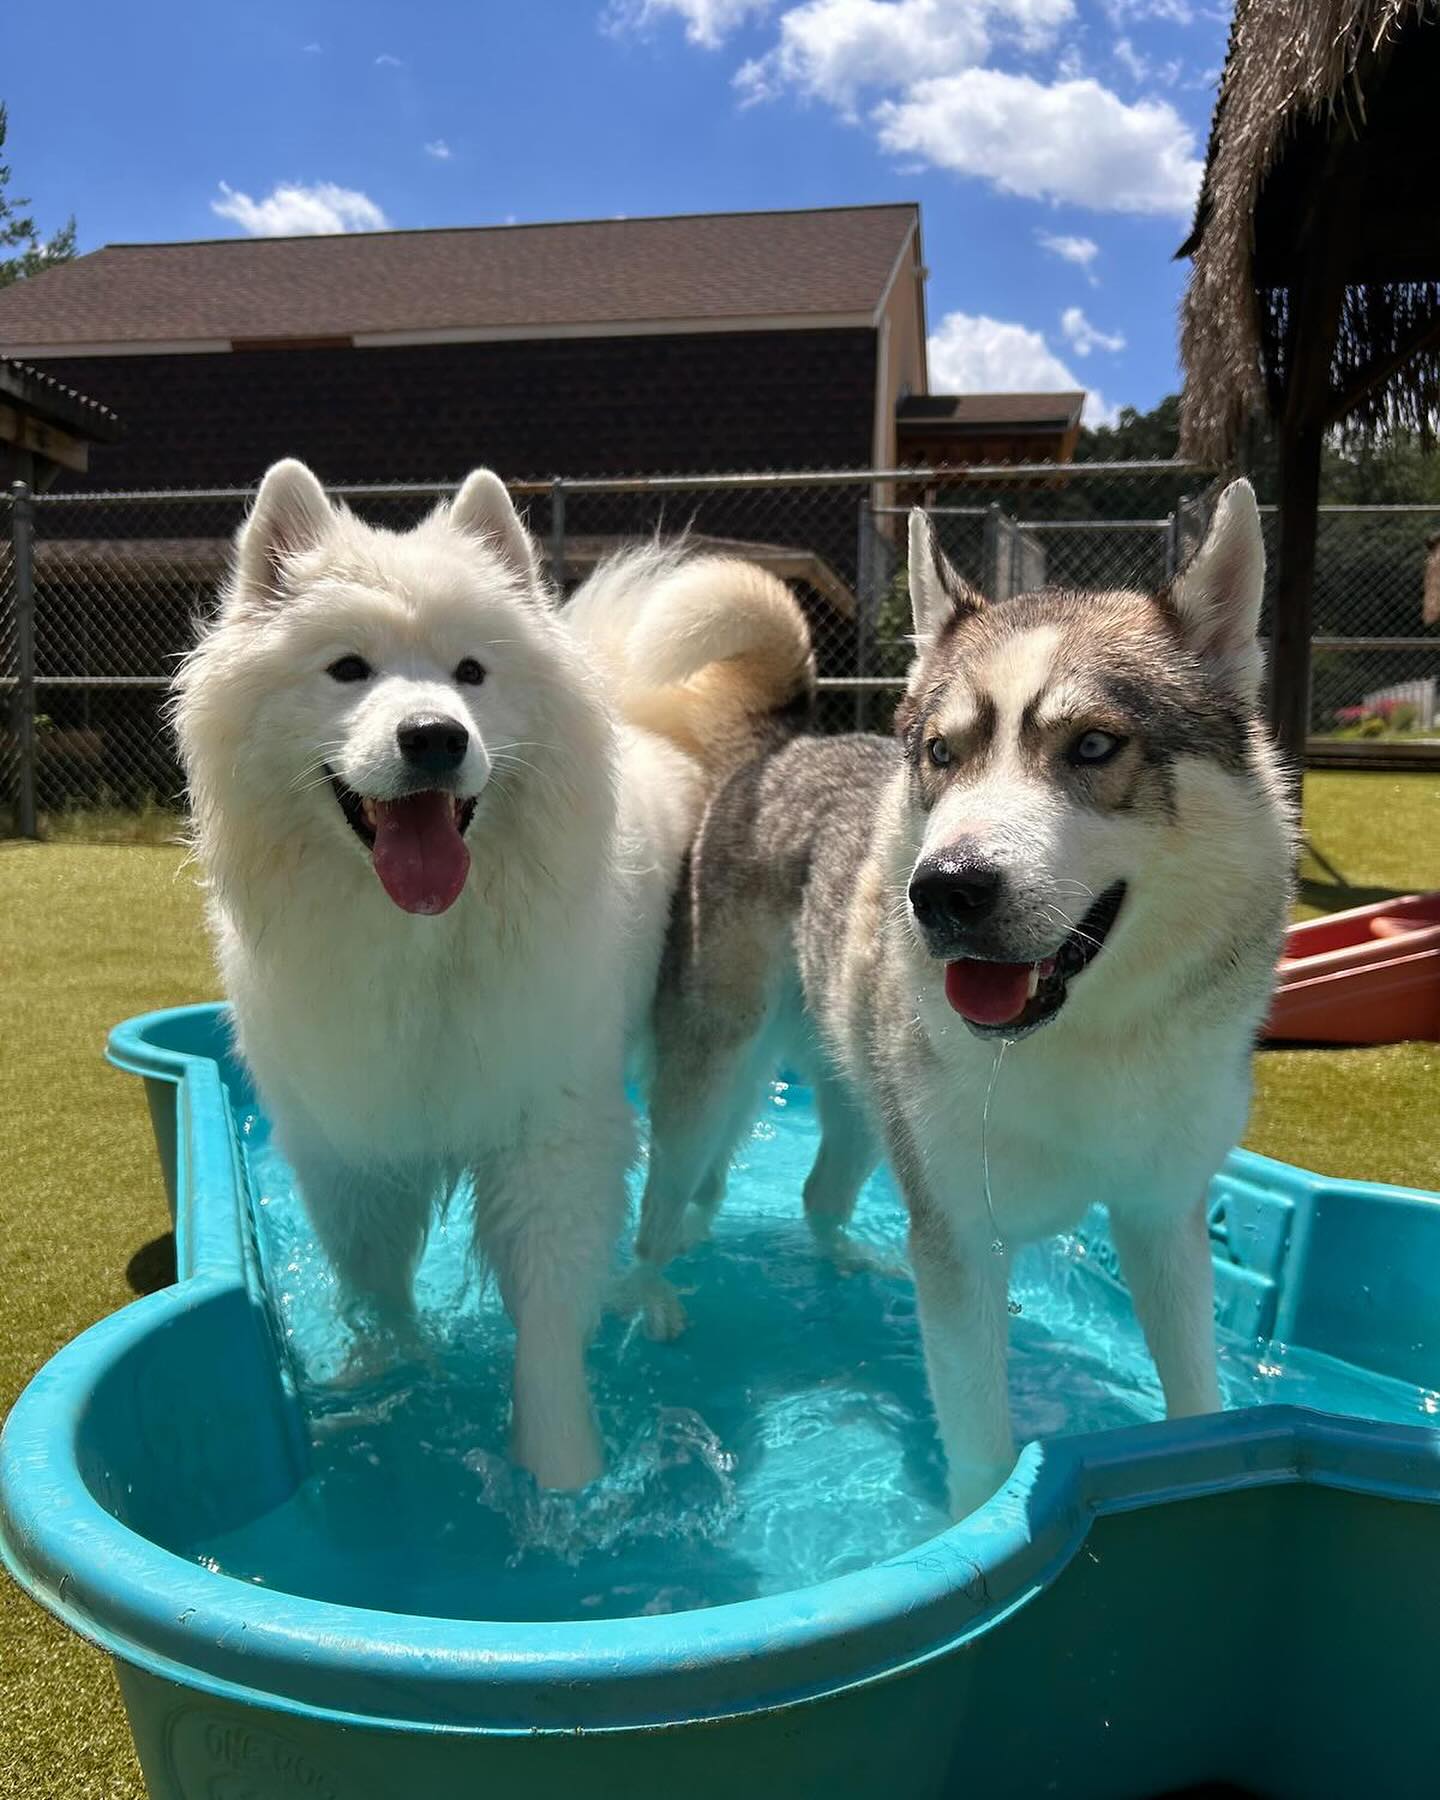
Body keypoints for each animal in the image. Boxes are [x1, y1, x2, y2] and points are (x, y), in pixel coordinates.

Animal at [630, 478, 1296, 1519]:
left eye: (1093, 744)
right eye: (943, 753)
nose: (945, 890)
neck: (1079, 1041)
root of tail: (783, 746)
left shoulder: (1163, 1220)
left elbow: (1196, 1399)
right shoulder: (962, 1245)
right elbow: (984, 1459)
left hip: (865, 1102)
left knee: (819, 1191)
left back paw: (846, 1263)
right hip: (711, 1086)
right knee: (659, 1206)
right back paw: (650, 1296)